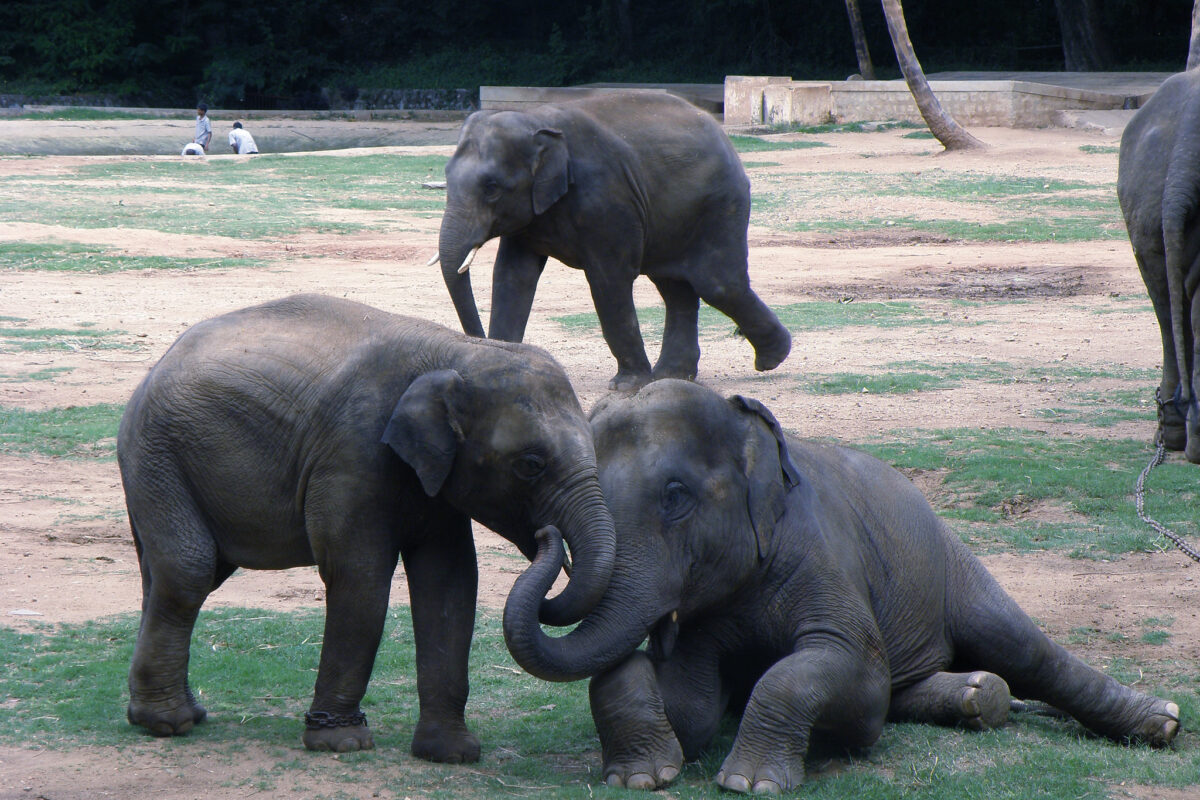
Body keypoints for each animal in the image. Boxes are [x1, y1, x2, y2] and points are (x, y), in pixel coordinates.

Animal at [117, 296, 614, 762]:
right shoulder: (352, 452)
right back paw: (168, 723)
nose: (548, 538)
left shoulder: (433, 474)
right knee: (190, 569)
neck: (459, 352)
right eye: (530, 465)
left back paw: (168, 713)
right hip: (157, 454)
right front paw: (342, 743)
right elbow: (360, 578)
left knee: (172, 575)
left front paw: (451, 754)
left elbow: (449, 582)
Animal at [436, 90, 792, 391]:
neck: (535, 120)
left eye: (492, 188)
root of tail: (722, 133)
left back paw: (772, 359)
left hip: (721, 203)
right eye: (446, 179)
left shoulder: (607, 200)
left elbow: (609, 280)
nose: (479, 345)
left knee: (718, 284)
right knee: (675, 288)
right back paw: (673, 375)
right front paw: (504, 363)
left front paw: (626, 386)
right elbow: (513, 276)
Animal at [504, 381, 1180, 796]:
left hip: (951, 564)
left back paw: (1162, 724)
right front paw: (642, 777)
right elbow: (689, 708)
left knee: (1021, 648)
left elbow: (852, 675)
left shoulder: (825, 556)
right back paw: (978, 696)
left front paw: (750, 783)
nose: (542, 533)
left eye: (675, 497)